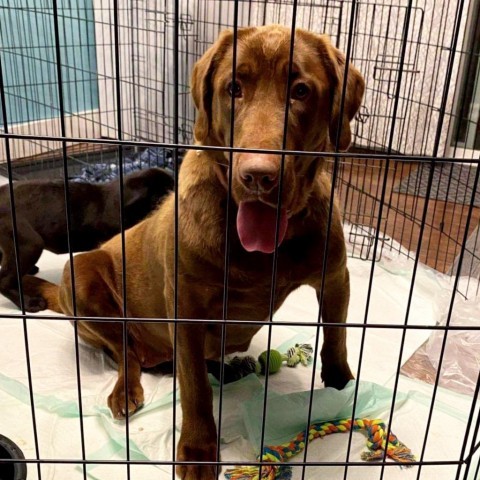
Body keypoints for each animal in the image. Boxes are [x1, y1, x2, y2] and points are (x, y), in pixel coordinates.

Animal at [27, 26, 364, 480]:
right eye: (233, 88)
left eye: (300, 90)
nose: (258, 176)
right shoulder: (184, 307)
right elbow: (195, 390)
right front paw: (198, 451)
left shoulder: (335, 275)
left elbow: (337, 334)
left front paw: (341, 382)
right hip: (80, 277)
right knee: (127, 354)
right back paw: (129, 387)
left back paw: (230, 367)